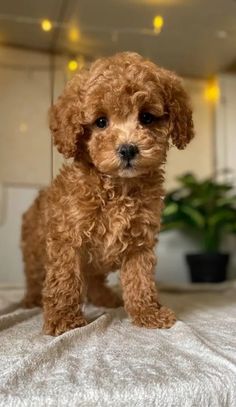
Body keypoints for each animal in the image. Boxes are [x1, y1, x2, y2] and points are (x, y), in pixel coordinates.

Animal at [21, 52, 194, 336]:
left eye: (146, 117)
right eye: (101, 122)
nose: (127, 149)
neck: (118, 188)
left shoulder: (140, 241)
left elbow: (140, 279)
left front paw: (147, 313)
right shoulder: (67, 239)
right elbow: (65, 280)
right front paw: (63, 319)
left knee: (93, 279)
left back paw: (104, 297)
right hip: (33, 249)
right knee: (35, 276)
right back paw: (32, 299)